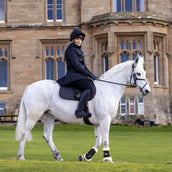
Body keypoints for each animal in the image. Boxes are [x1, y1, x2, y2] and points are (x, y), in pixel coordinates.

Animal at [15, 55, 150, 163]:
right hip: (34, 116)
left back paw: (58, 156)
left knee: (47, 136)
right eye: (138, 73)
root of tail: (28, 87)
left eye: (144, 72)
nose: (147, 91)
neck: (108, 89)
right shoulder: (105, 120)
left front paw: (86, 157)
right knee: (25, 133)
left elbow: (98, 142)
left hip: (49, 117)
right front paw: (107, 158)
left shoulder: (98, 123)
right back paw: (21, 156)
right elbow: (105, 140)